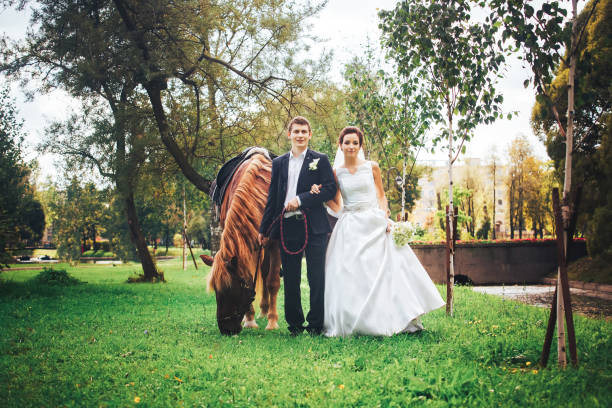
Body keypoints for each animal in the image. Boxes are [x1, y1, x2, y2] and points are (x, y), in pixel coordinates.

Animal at [206, 153, 282, 334]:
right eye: (216, 291)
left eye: (230, 289)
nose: (226, 329)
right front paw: (250, 319)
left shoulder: (275, 243)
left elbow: (273, 282)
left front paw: (272, 322)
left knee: (266, 272)